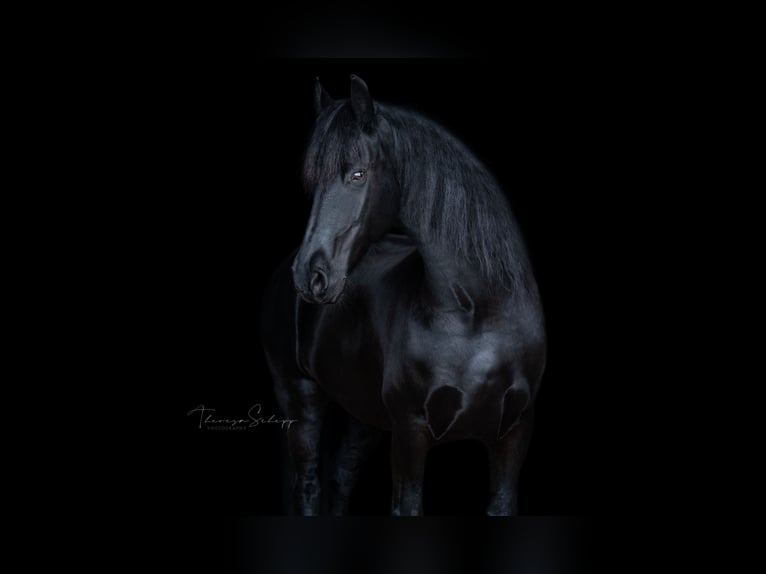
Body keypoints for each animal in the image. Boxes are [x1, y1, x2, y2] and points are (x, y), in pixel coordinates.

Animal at [261, 75, 546, 515]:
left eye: (358, 173)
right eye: (313, 179)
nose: (311, 276)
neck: (476, 313)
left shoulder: (514, 435)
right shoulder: (411, 434)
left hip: (362, 415)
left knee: (340, 479)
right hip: (299, 399)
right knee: (308, 485)